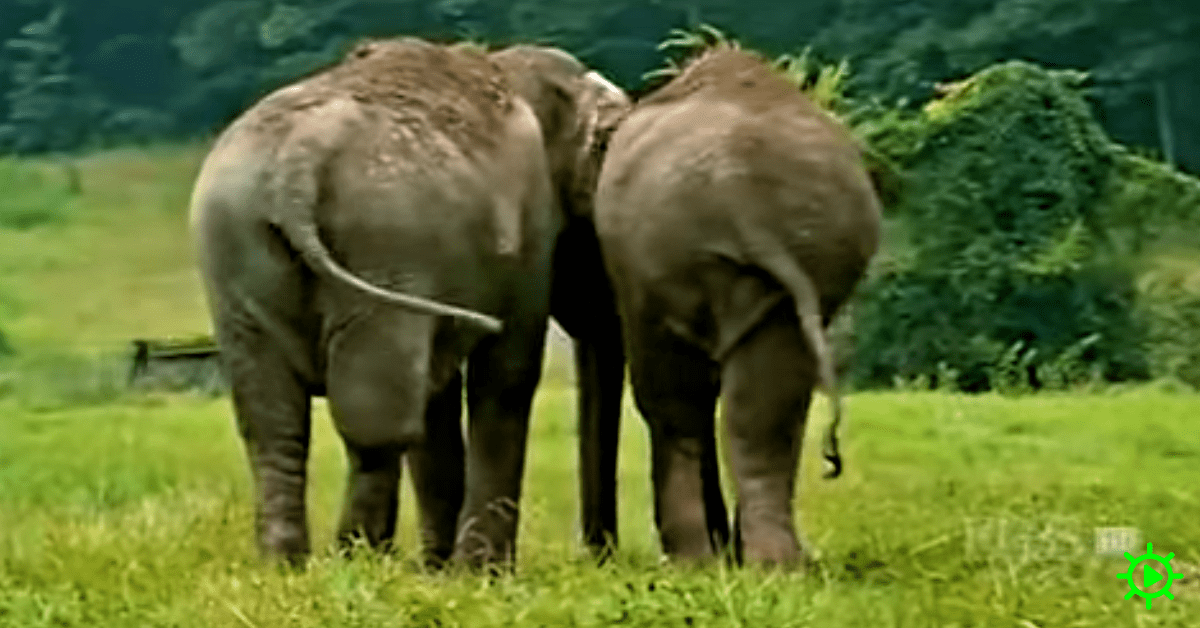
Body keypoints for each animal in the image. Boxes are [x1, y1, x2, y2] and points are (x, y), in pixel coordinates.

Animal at [189, 37, 629, 568]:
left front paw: (443, 570)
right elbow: (508, 375)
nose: (599, 556)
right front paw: (481, 573)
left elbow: (440, 398)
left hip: (235, 249)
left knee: (274, 423)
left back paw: (289, 564)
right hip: (386, 245)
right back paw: (357, 557)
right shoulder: (529, 232)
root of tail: (298, 162)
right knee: (377, 425)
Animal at [592, 45, 882, 567]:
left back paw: (696, 561)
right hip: (800, 264)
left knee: (674, 398)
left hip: (665, 258)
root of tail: (745, 197)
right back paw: (776, 564)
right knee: (768, 401)